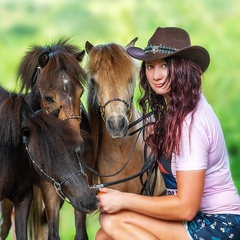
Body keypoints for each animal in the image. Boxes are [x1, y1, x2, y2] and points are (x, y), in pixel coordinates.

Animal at [0, 40, 95, 240]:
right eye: (48, 98)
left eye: (80, 92)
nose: (79, 146)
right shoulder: (48, 186)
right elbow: (53, 231)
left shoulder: (82, 181)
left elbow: (80, 231)